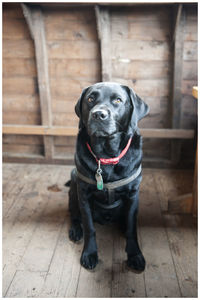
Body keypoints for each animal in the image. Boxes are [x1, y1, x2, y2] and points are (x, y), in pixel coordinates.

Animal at [67, 82, 148, 272]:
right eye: (90, 99)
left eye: (118, 100)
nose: (98, 114)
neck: (106, 157)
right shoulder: (84, 195)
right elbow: (89, 227)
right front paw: (89, 254)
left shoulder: (133, 195)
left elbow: (132, 228)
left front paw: (135, 255)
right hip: (74, 184)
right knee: (74, 215)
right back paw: (75, 230)